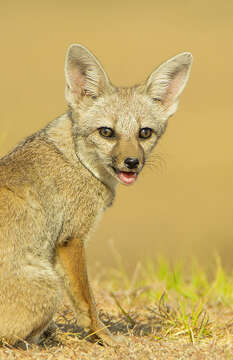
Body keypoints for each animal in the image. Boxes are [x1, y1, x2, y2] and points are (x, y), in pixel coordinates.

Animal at [0, 44, 192, 346]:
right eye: (106, 132)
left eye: (144, 133)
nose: (132, 162)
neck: (76, 160)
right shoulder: (71, 239)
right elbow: (87, 303)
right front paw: (104, 337)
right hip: (49, 284)